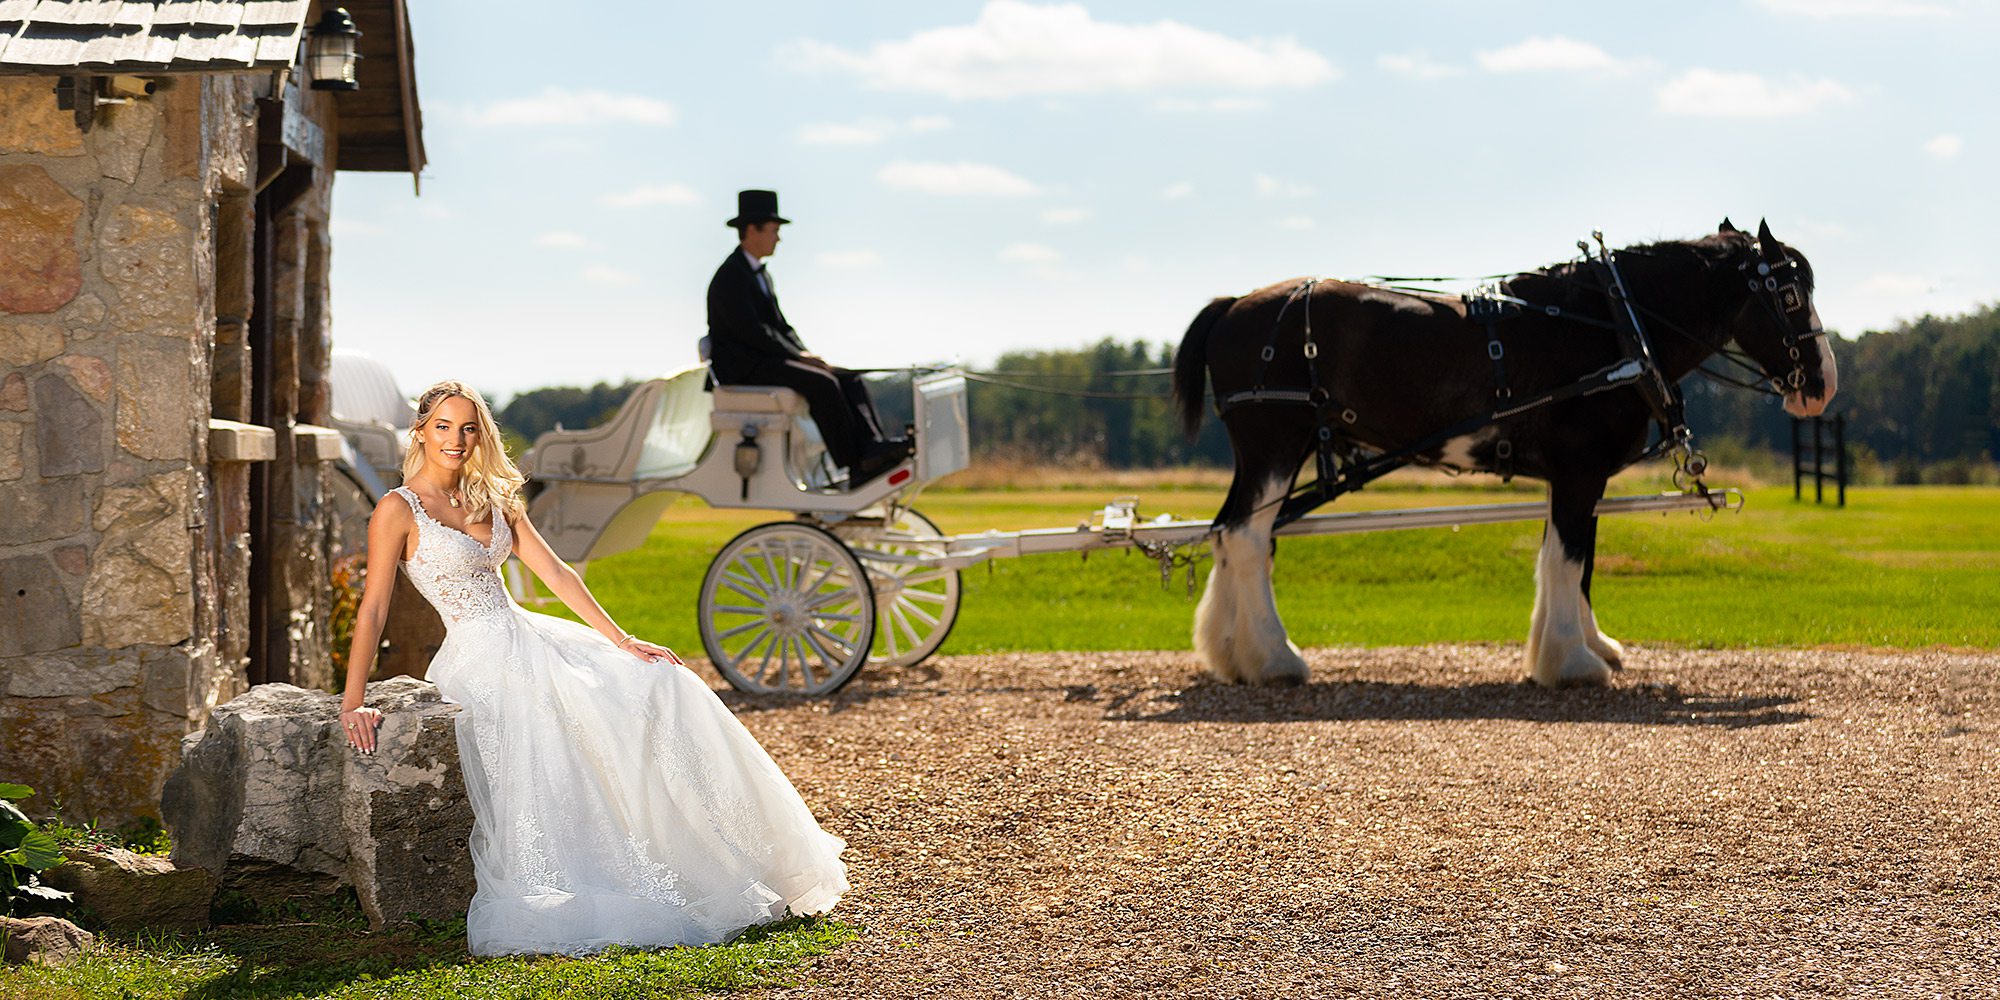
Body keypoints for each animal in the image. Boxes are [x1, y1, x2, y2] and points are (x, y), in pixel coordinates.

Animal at [1168, 219, 1840, 688]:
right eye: (1787, 294)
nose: (1822, 384)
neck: (1614, 324)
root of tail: (1233, 305)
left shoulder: (1573, 477)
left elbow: (1568, 561)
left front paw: (1586, 647)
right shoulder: (1578, 470)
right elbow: (1569, 561)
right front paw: (1572, 663)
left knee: (1229, 532)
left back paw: (1233, 654)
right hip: (1276, 443)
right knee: (1247, 538)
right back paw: (1276, 659)